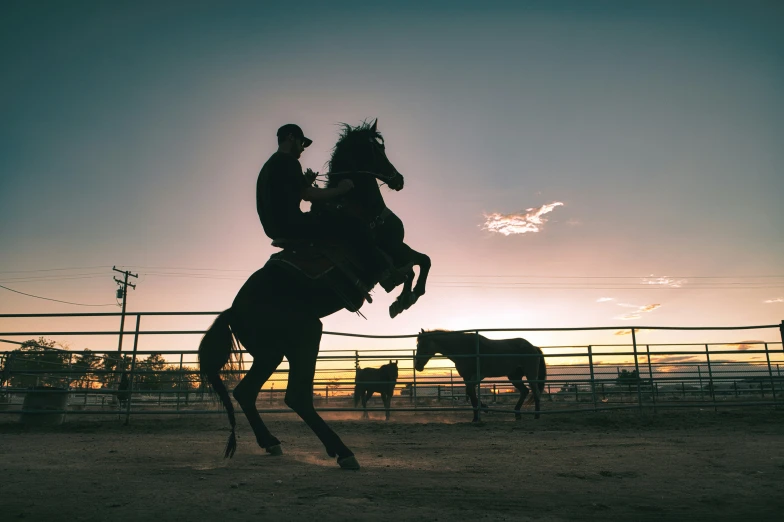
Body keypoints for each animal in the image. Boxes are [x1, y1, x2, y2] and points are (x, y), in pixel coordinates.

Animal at [196, 119, 428, 468]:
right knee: (297, 396)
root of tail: (233, 311)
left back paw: (272, 443)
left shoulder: (398, 249)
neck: (359, 206)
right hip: (305, 335)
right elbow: (416, 266)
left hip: (270, 353)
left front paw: (402, 299)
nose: (397, 179)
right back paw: (343, 452)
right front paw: (404, 299)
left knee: (246, 393)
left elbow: (420, 261)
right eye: (376, 149)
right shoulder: (387, 250)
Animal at [414, 330, 548, 422]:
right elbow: (471, 394)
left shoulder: (476, 377)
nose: (417, 366)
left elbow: (470, 393)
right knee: (525, 391)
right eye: (417, 346)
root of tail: (533, 347)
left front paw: (481, 411)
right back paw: (517, 414)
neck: (464, 348)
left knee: (535, 392)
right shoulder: (467, 377)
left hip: (530, 375)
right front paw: (477, 415)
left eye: (423, 345)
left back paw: (536, 415)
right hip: (514, 377)